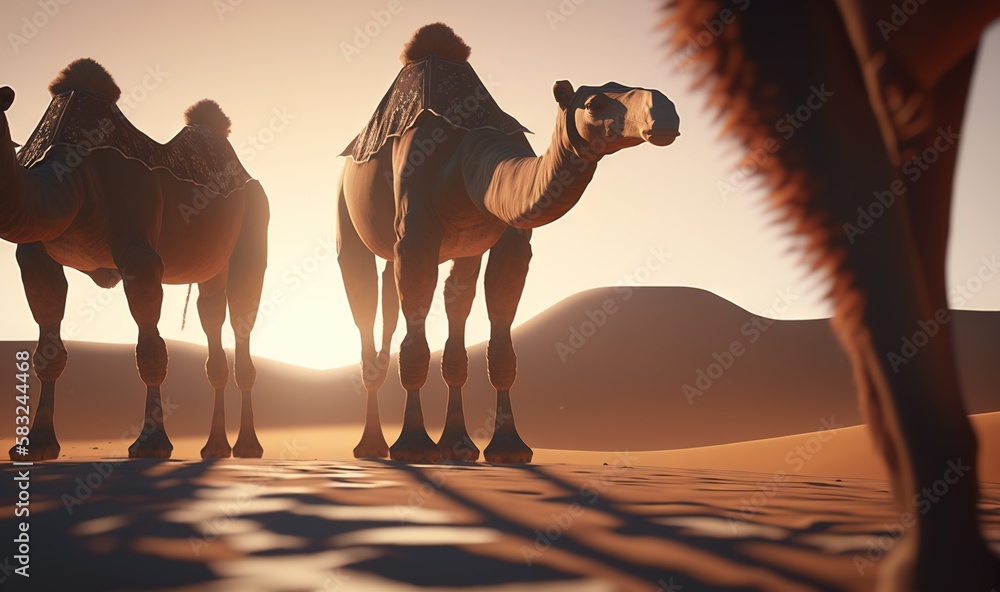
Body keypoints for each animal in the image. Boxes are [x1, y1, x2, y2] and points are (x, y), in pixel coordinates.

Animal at [1, 61, 268, 462]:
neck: (68, 167)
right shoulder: (35, 254)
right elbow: (48, 351)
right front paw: (38, 445)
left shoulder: (139, 251)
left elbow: (150, 349)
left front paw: (151, 444)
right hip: (211, 266)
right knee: (211, 316)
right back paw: (215, 448)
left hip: (255, 223)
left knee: (242, 317)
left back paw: (249, 447)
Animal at [340, 23, 684, 464]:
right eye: (592, 104)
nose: (665, 110)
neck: (465, 160)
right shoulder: (414, 237)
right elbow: (414, 343)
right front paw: (413, 445)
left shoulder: (510, 242)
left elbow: (502, 346)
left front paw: (508, 448)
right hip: (348, 220)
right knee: (364, 305)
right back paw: (371, 446)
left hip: (463, 251)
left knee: (453, 303)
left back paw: (458, 446)